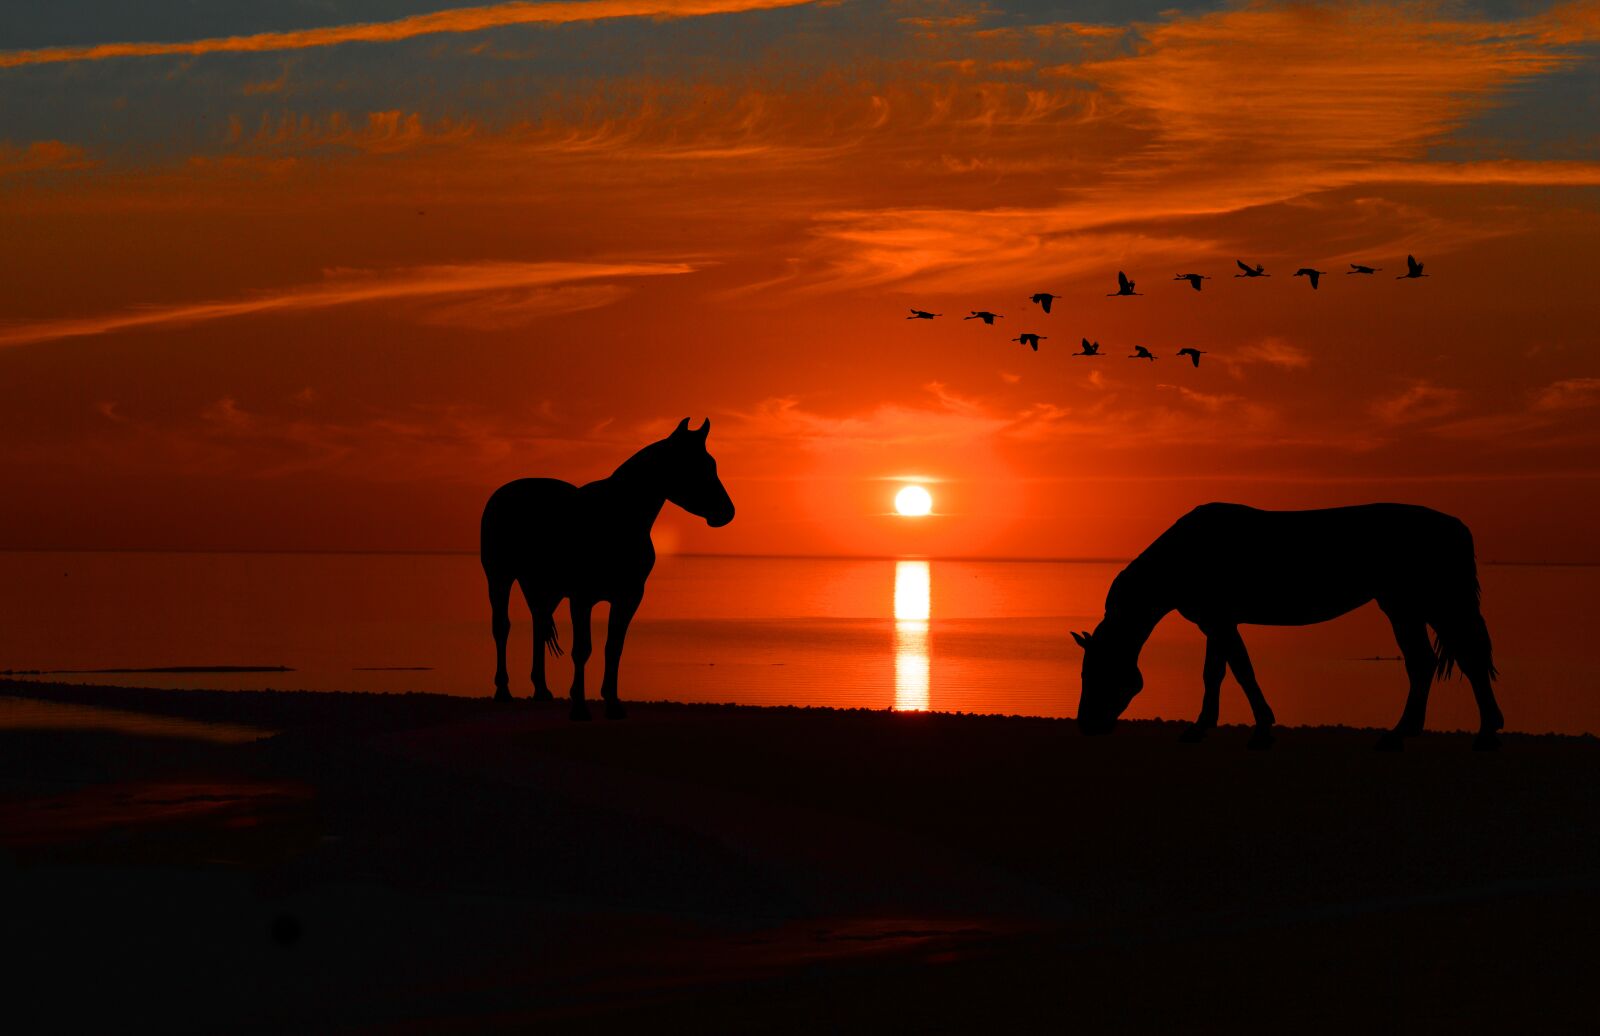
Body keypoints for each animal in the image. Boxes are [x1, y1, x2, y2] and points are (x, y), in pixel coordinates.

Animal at [480, 418, 734, 720]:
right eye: (694, 465)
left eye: (712, 464)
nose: (727, 512)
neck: (617, 518)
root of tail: (504, 493)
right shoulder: (581, 598)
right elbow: (582, 649)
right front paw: (579, 707)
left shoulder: (628, 597)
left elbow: (613, 648)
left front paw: (613, 704)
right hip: (500, 578)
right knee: (501, 627)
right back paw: (503, 691)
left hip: (545, 588)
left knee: (539, 623)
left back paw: (541, 690)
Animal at [1072, 503, 1502, 750]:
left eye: (1096, 673)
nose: (1086, 725)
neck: (1183, 556)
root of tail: (1455, 527)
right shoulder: (1216, 622)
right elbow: (1220, 673)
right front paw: (1207, 727)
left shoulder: (1221, 621)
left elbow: (1238, 672)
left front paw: (1256, 730)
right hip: (1408, 606)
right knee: (1429, 662)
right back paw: (1410, 731)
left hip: (1426, 603)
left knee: (1461, 659)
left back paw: (1475, 733)